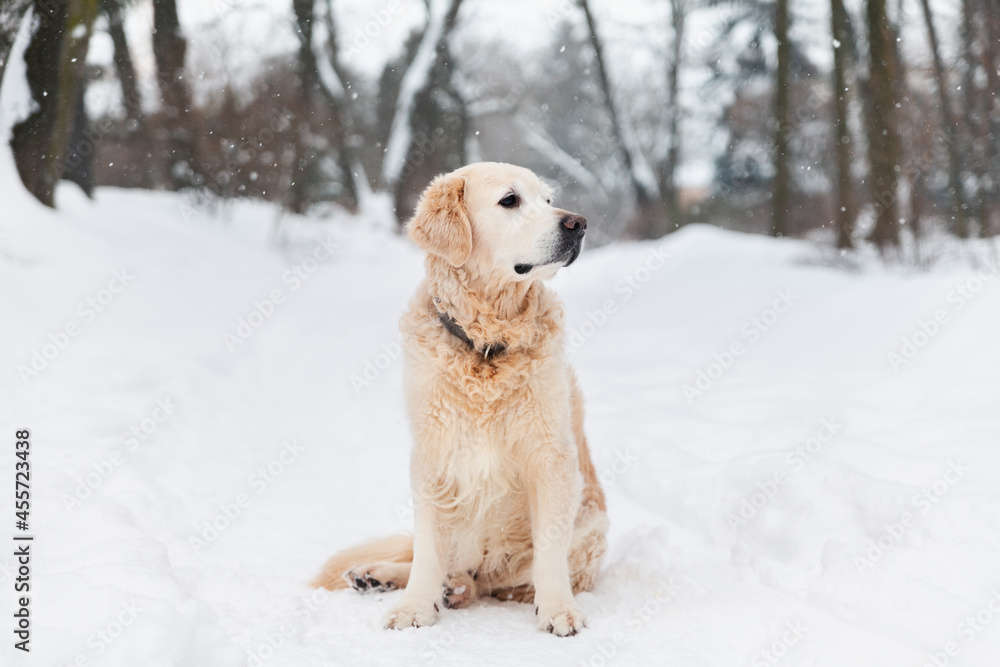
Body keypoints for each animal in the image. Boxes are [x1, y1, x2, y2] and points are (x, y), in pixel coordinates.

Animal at [312, 162, 608, 636]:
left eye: (548, 200)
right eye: (510, 200)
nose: (578, 224)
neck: (486, 343)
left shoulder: (552, 456)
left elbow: (549, 553)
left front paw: (559, 610)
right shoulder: (432, 456)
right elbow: (428, 552)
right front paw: (414, 607)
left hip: (589, 527)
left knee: (489, 582)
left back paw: (453, 588)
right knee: (432, 558)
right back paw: (380, 575)